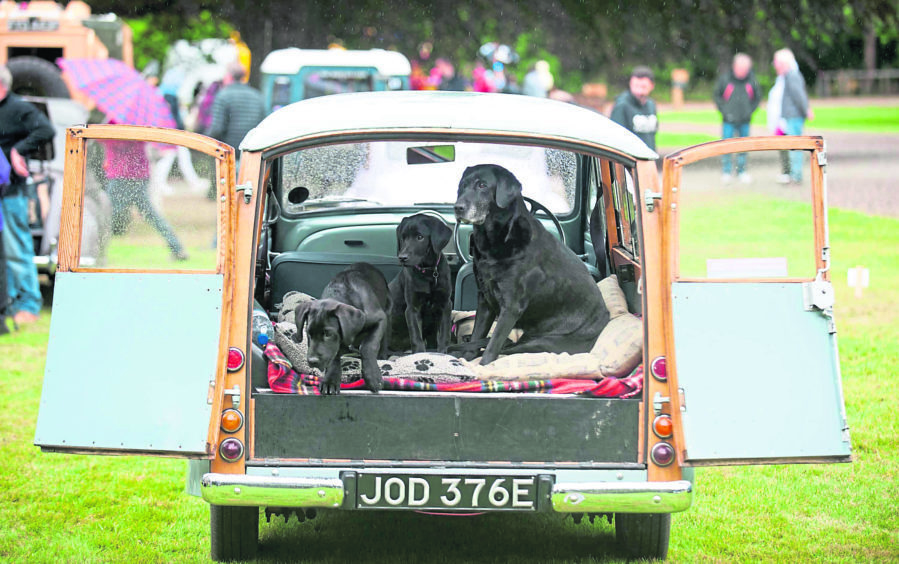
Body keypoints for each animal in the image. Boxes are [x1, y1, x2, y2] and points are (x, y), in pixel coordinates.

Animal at [296, 262, 390, 394]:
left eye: (328, 334)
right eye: (309, 333)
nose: (312, 361)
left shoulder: (380, 319)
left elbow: (368, 346)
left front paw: (373, 376)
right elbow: (334, 356)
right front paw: (330, 380)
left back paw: (382, 355)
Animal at [388, 213, 454, 352]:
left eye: (420, 237)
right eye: (403, 237)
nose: (402, 257)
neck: (428, 273)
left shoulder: (445, 304)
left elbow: (444, 334)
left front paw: (442, 353)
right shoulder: (412, 308)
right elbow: (416, 336)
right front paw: (419, 353)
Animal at [454, 163, 608, 366]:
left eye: (482, 185)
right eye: (462, 185)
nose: (457, 207)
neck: (496, 239)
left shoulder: (511, 307)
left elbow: (492, 348)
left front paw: (482, 365)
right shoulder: (485, 300)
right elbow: (476, 334)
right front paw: (466, 358)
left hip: (542, 342)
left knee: (508, 347)